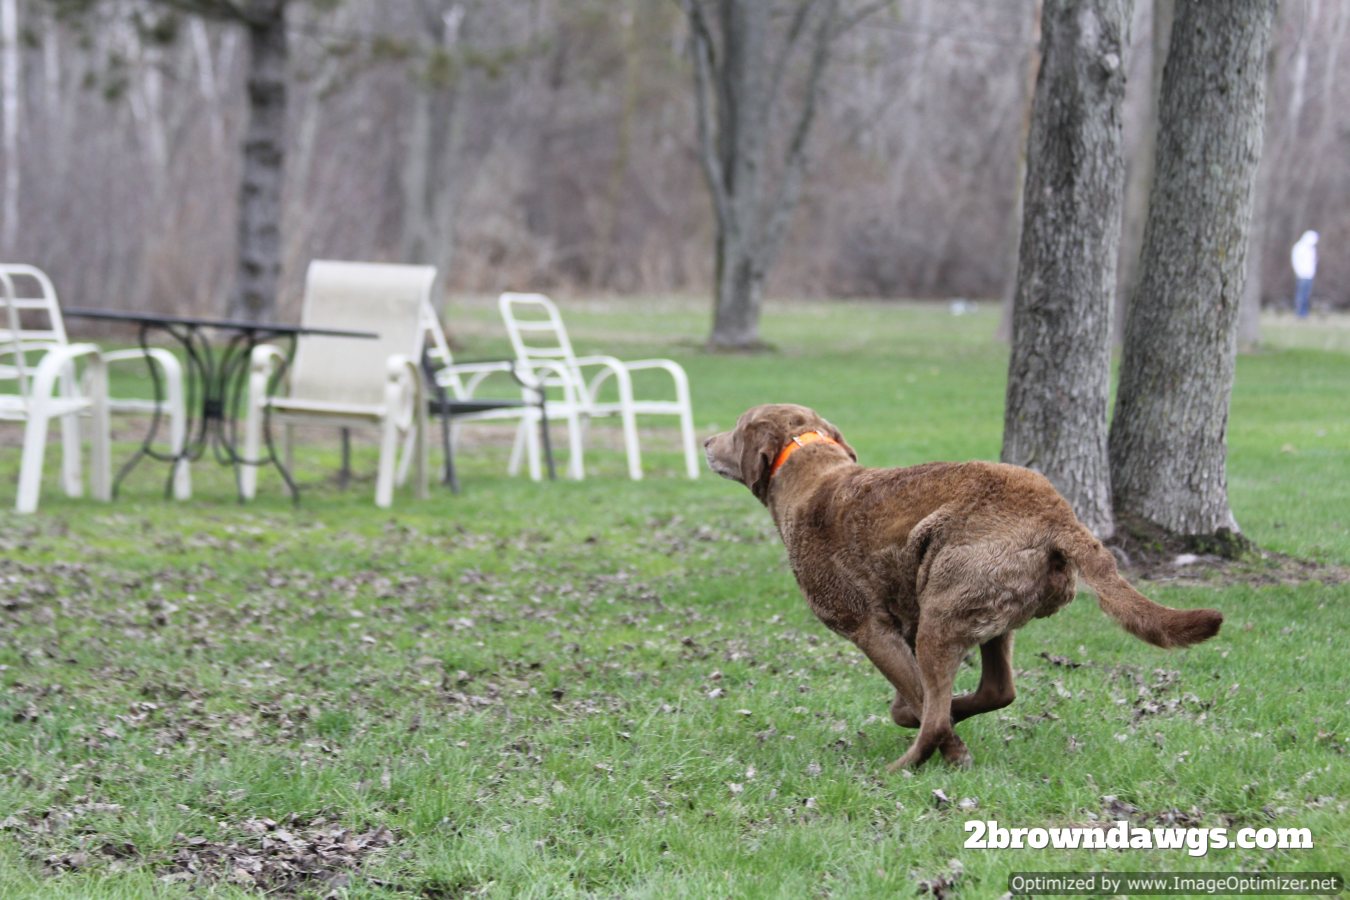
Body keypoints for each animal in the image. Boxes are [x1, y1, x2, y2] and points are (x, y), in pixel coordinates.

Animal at [704, 403, 1222, 770]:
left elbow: (917, 699)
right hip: (984, 614)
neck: (808, 470)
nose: (707, 439)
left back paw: (901, 767)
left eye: (736, 427)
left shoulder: (869, 628)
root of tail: (1058, 516)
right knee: (998, 689)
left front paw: (951, 750)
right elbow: (918, 699)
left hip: (941, 614)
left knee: (937, 715)